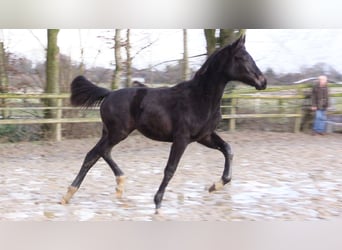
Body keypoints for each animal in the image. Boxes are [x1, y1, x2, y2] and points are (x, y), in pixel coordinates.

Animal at [60, 35, 268, 213]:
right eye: (241, 58)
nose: (263, 81)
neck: (200, 98)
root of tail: (108, 93)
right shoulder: (181, 138)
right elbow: (170, 169)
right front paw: (158, 203)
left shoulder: (204, 136)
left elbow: (228, 149)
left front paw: (214, 186)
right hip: (117, 132)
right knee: (94, 154)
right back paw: (69, 194)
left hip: (111, 133)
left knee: (100, 153)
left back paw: (116, 185)